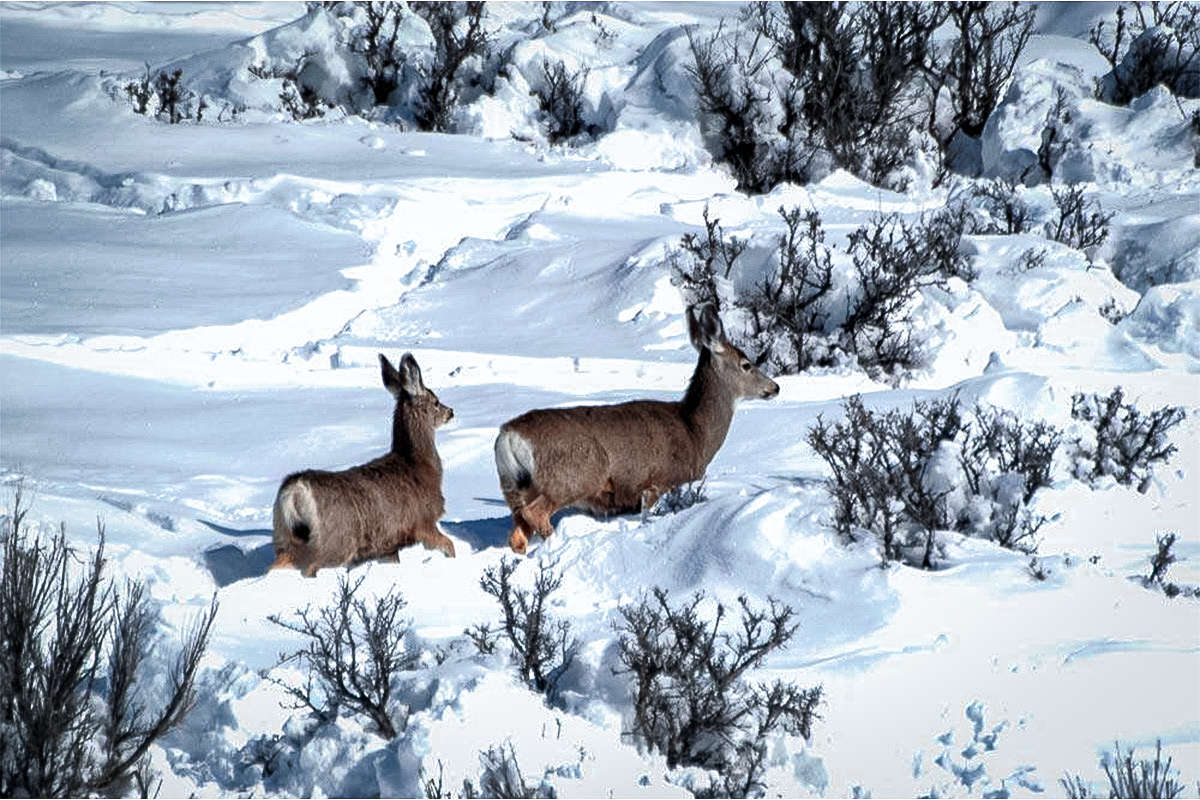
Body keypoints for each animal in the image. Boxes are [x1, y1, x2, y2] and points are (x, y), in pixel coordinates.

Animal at [271, 352, 453, 575]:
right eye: (435, 401)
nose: (450, 411)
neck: (419, 464)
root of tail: (295, 489)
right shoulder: (423, 522)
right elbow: (449, 545)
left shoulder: (387, 544)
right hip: (334, 543)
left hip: (284, 538)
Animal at [494, 303, 782, 554]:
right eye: (746, 364)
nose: (775, 387)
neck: (694, 432)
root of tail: (509, 435)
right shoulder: (658, 481)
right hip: (572, 476)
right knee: (535, 513)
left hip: (513, 487)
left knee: (517, 534)